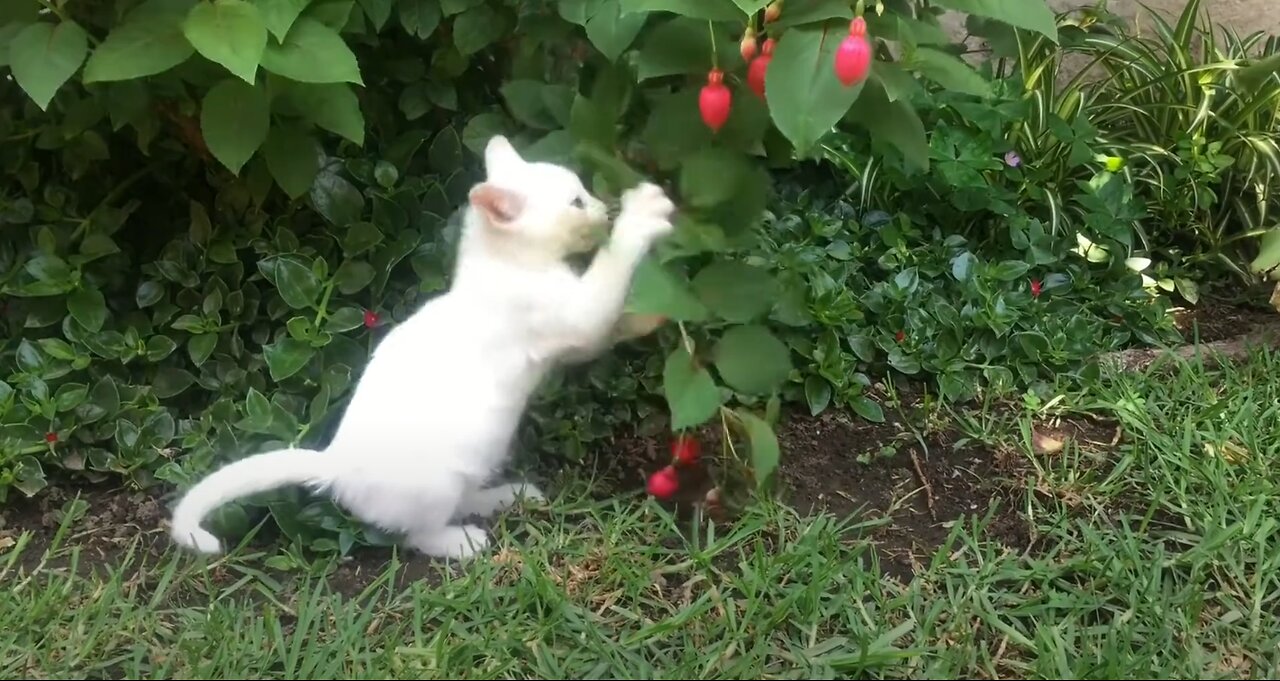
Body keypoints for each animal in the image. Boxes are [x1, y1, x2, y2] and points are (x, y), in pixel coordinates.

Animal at [167, 135, 680, 560]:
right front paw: (641, 218)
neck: (505, 265)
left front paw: (655, 316)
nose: (600, 206)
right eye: (576, 201)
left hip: (475, 462)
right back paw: (463, 542)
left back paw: (503, 497)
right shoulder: (577, 319)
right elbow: (611, 275)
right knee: (418, 534)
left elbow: (619, 319)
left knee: (463, 499)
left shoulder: (576, 337)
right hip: (436, 486)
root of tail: (335, 464)